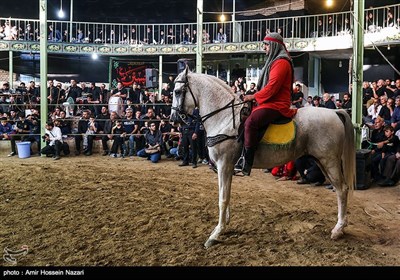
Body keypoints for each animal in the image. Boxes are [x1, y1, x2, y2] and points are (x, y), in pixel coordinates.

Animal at [170, 66, 354, 249]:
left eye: (178, 92)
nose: (174, 119)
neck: (225, 118)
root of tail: (334, 112)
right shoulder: (227, 168)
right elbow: (226, 195)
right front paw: (224, 225)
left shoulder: (224, 165)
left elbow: (222, 199)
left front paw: (215, 234)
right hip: (322, 161)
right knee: (339, 188)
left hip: (330, 161)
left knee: (342, 189)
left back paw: (338, 229)